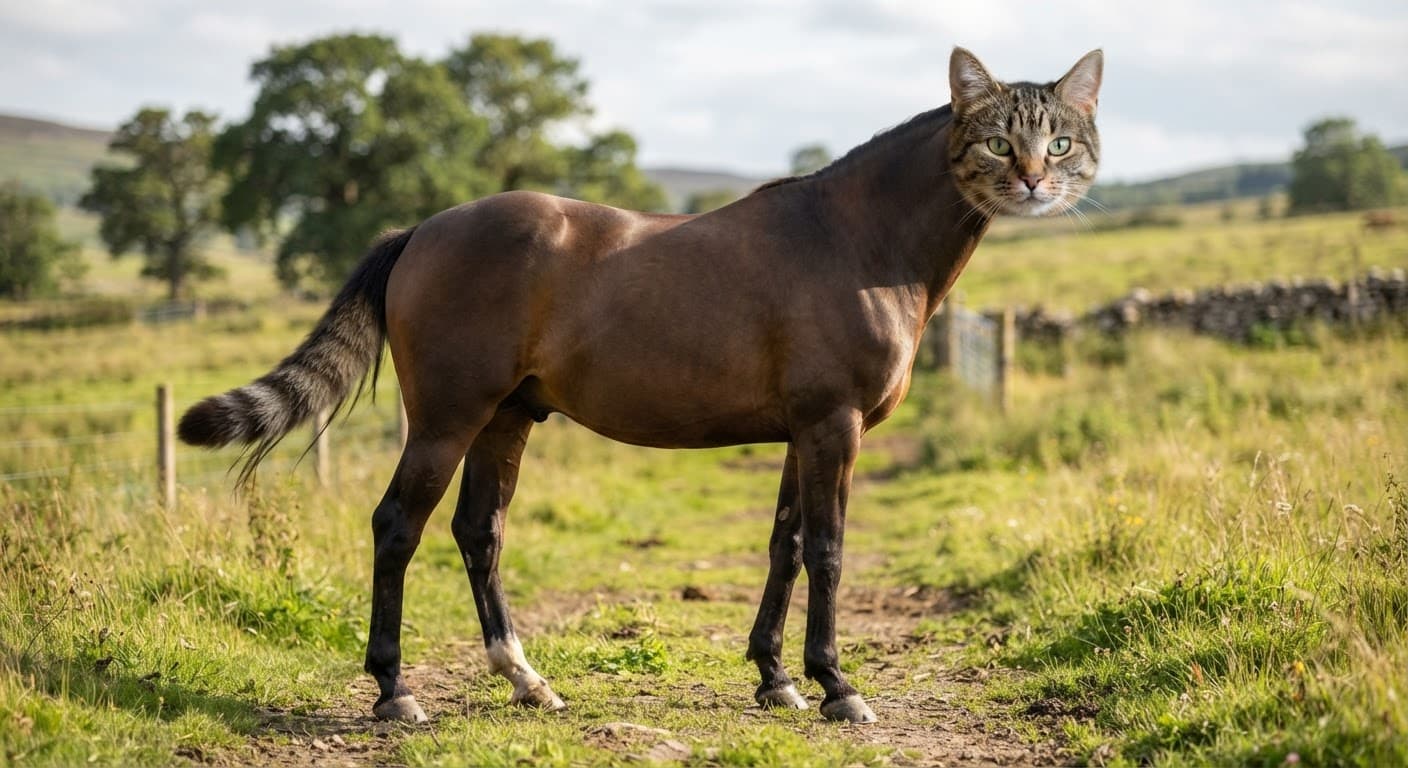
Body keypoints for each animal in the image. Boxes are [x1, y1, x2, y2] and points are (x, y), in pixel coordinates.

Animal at [179, 46, 1103, 724]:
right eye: (997, 139)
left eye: (1059, 138)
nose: (1035, 183)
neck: (859, 240)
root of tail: (419, 231)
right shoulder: (834, 426)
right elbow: (830, 551)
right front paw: (838, 687)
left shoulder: (800, 430)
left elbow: (786, 545)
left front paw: (776, 680)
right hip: (446, 418)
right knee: (398, 526)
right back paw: (395, 692)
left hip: (507, 418)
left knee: (480, 532)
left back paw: (528, 680)